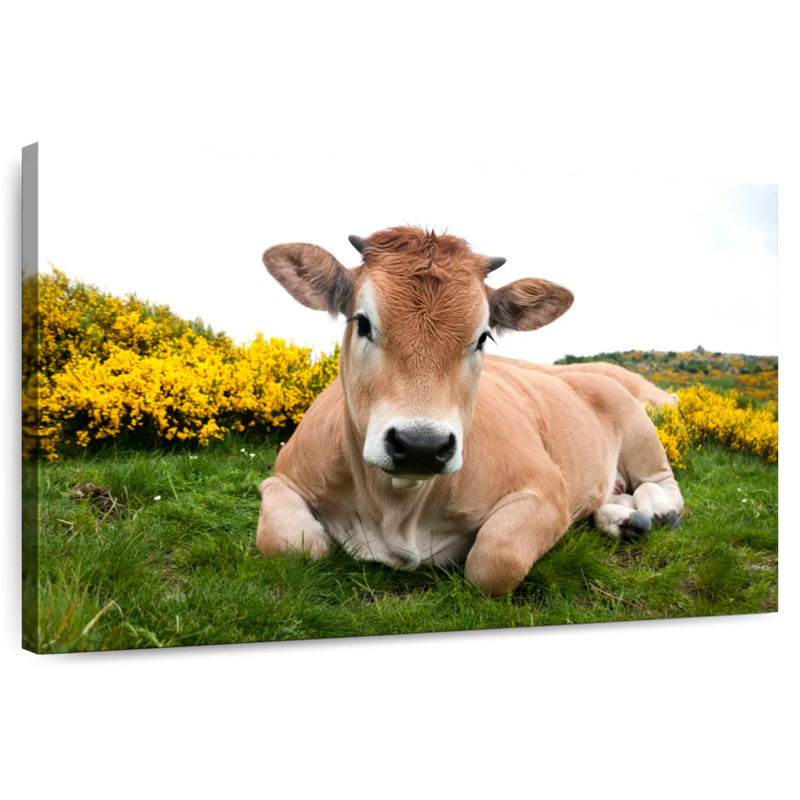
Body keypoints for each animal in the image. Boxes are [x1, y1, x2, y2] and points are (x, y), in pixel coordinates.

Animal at [256, 226, 684, 596]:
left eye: (483, 337)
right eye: (361, 323)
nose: (421, 445)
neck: (395, 511)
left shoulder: (547, 491)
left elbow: (493, 560)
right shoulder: (282, 477)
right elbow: (290, 544)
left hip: (641, 434)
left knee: (662, 485)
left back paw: (656, 512)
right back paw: (624, 519)